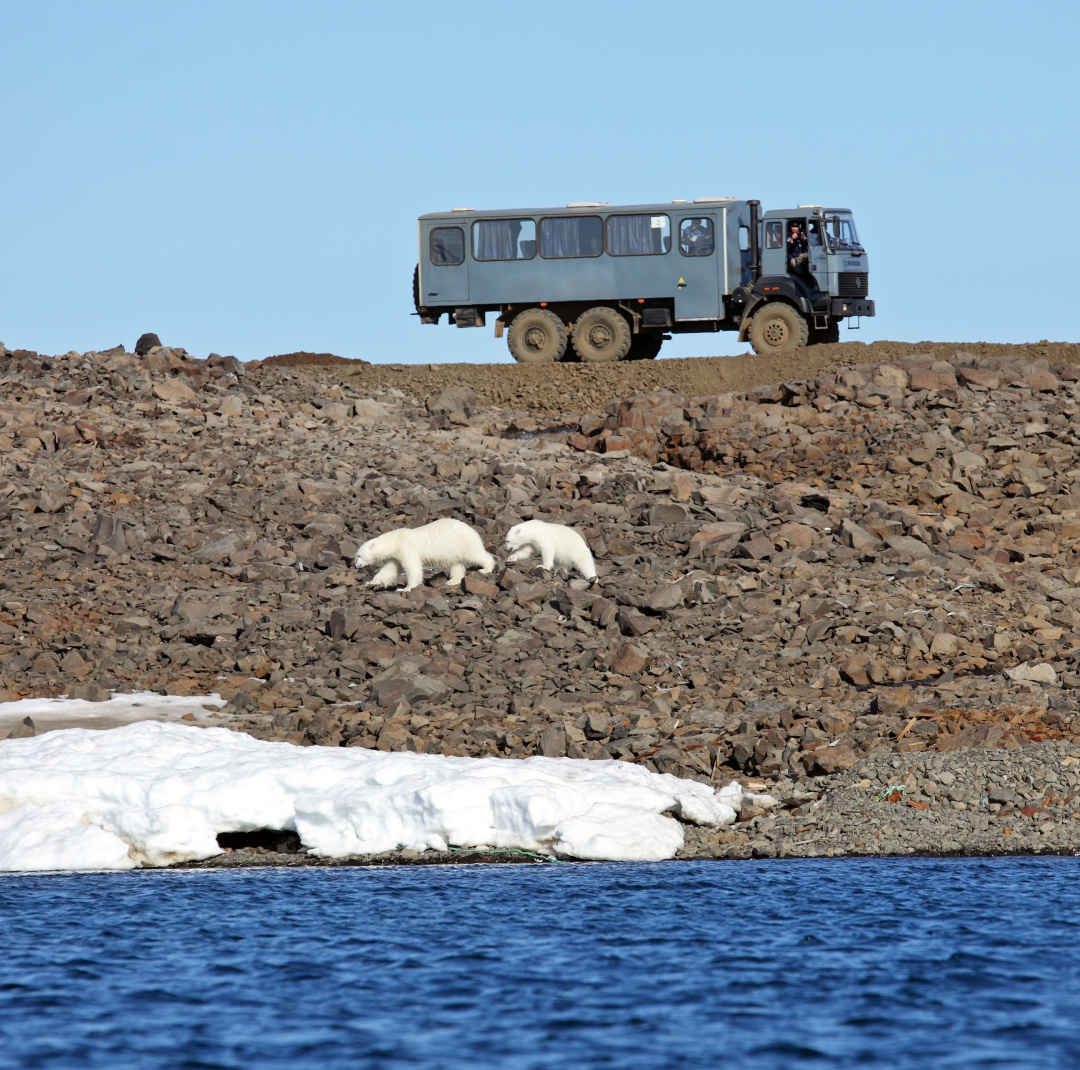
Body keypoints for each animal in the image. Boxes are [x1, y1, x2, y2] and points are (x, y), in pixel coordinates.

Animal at [352, 513, 494, 591]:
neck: (395, 541)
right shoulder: (395, 557)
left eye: (359, 555)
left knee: (475, 554)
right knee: (456, 564)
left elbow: (412, 567)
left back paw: (486, 568)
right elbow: (389, 570)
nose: (356, 565)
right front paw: (371, 583)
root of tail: (472, 529)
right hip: (453, 550)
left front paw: (405, 588)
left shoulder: (406, 547)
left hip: (462, 542)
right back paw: (452, 581)